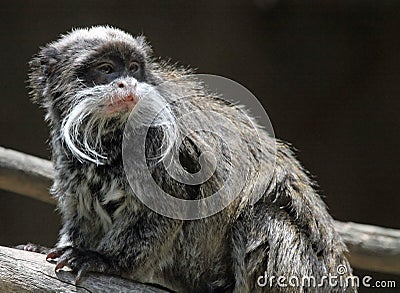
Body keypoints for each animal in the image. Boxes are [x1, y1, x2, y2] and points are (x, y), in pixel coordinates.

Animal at [25, 26, 354, 290]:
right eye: (106, 69)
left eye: (133, 68)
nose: (127, 84)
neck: (109, 135)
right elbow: (82, 211)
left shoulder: (160, 140)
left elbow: (166, 209)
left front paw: (103, 259)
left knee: (262, 217)